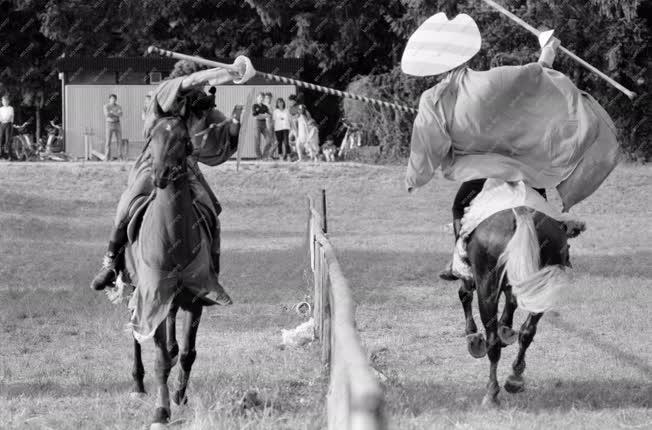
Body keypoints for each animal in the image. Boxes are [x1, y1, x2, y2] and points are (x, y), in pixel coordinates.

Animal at [119, 116, 216, 428]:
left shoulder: (195, 302)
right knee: (137, 334)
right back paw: (138, 385)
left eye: (184, 140)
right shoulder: (153, 298)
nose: (160, 174)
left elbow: (187, 354)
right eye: (152, 138)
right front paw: (161, 411)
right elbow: (160, 358)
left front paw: (179, 396)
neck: (174, 238)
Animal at [458, 206, 576, 406]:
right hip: (543, 284)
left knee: (492, 341)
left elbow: (465, 293)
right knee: (527, 331)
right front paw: (505, 329)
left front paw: (473, 334)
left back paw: (492, 392)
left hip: (487, 284)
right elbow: (511, 301)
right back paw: (515, 377)